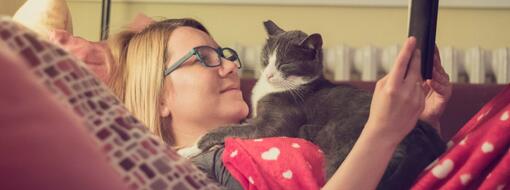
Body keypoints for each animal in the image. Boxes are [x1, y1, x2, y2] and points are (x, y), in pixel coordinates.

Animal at [197, 20, 444, 189]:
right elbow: (240, 124)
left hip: (340, 145)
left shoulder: (274, 124)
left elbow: (235, 129)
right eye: (266, 58)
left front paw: (197, 145)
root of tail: (420, 139)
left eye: (284, 64)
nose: (268, 74)